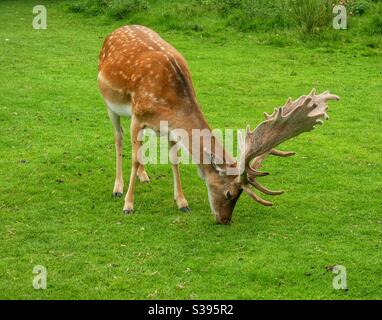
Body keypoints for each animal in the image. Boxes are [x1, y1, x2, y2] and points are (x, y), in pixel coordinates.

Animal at [97, 25, 338, 225]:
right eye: (230, 193)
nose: (225, 220)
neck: (169, 104)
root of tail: (115, 30)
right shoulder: (138, 116)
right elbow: (135, 158)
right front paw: (128, 205)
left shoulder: (170, 128)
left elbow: (174, 160)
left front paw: (182, 202)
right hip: (110, 104)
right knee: (119, 138)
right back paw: (118, 188)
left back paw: (144, 176)